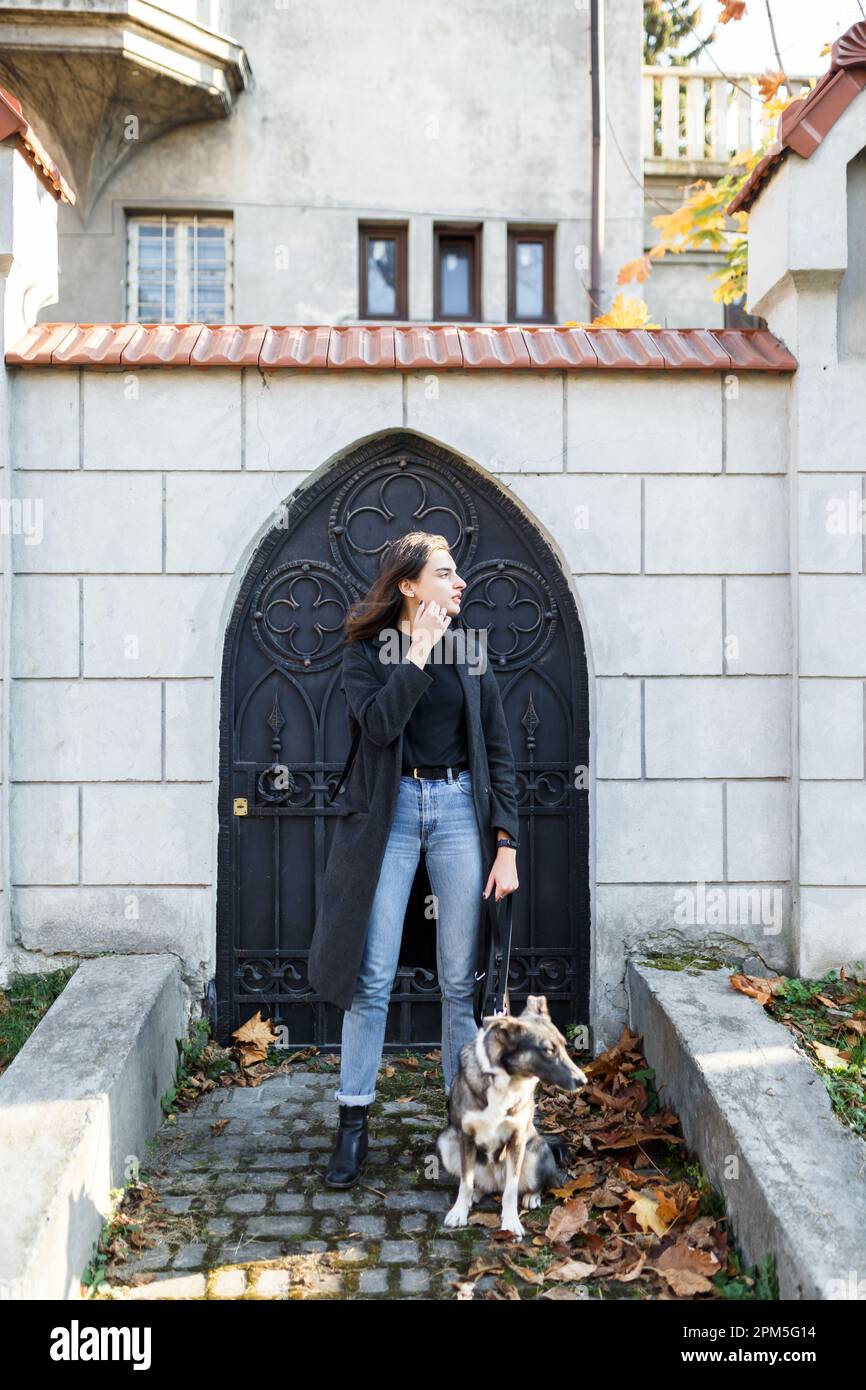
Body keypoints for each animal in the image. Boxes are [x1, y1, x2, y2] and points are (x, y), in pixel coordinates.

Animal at [436, 1000, 586, 1239]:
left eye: (564, 1045)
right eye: (548, 1050)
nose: (583, 1080)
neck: (506, 1079)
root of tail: (495, 1181)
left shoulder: (517, 1139)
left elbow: (511, 1189)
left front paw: (510, 1222)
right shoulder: (466, 1137)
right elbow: (466, 1182)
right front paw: (459, 1212)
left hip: (534, 1153)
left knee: (536, 1184)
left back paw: (532, 1196)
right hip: (447, 1143)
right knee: (476, 1182)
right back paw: (476, 1193)